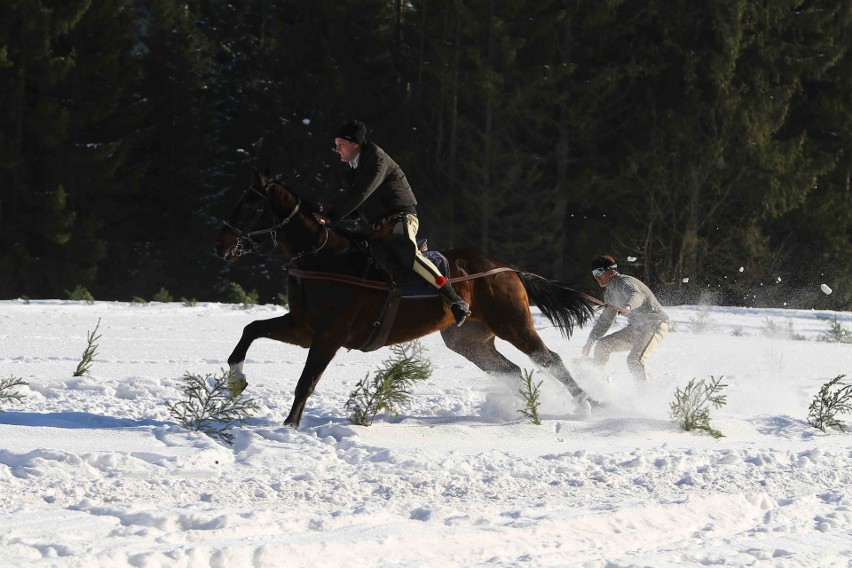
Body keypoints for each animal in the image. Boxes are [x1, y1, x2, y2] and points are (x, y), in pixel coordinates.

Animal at [215, 171, 600, 428]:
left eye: (250, 203)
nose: (221, 244)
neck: (324, 257)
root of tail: (507, 269)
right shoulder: (304, 327)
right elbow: (251, 329)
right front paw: (235, 380)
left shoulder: (329, 334)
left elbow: (306, 380)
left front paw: (290, 426)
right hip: (469, 341)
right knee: (513, 370)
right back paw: (524, 409)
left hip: (513, 324)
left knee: (549, 360)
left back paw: (587, 404)